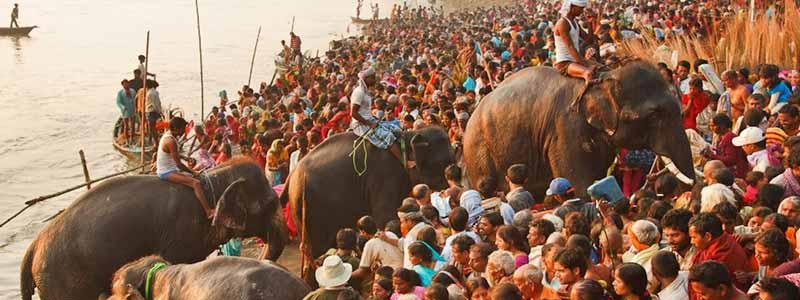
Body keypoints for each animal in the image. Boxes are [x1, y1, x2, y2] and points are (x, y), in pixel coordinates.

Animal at [282, 126, 456, 258]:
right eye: (445, 162)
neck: (406, 137)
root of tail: (292, 174)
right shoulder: (384, 176)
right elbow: (385, 217)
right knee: (316, 250)